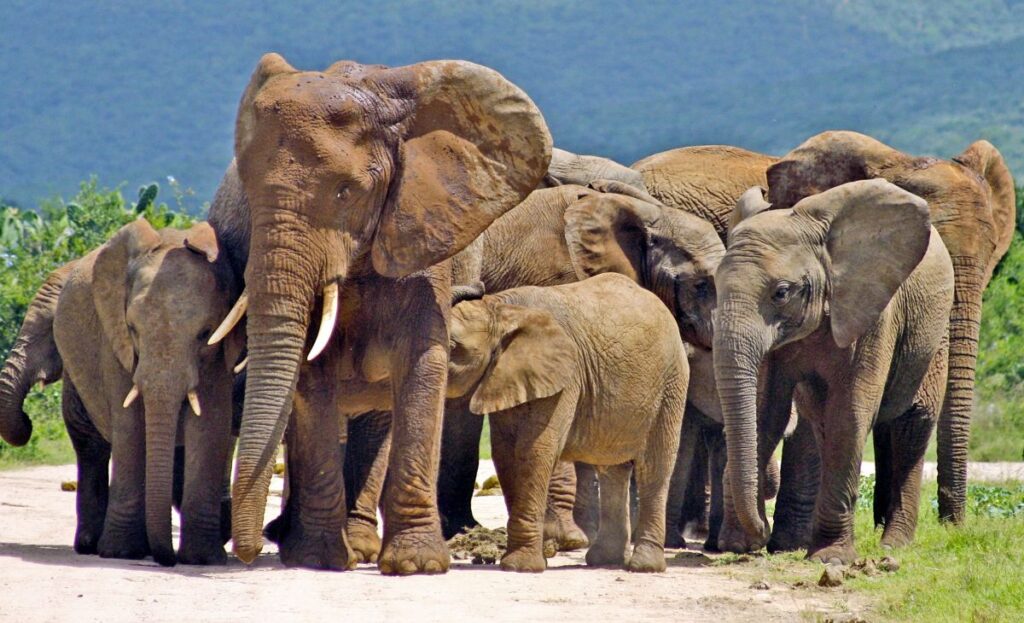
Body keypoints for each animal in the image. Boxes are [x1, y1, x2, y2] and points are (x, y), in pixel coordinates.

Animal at [0, 219, 244, 566]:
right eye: (133, 329)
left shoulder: (220, 352)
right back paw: (92, 544)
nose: (26, 423)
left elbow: (210, 424)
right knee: (91, 446)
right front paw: (122, 551)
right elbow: (129, 423)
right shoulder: (113, 341)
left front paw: (202, 559)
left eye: (206, 333)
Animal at [204, 54, 551, 573]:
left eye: (346, 192)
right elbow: (313, 376)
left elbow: (421, 364)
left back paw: (359, 545)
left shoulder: (422, 230)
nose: (244, 554)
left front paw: (416, 565)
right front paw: (317, 559)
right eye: (247, 193)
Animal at [446, 273, 689, 572]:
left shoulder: (565, 376)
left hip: (671, 384)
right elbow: (505, 454)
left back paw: (644, 567)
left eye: (452, 347)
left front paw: (521, 567)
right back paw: (604, 561)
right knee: (612, 468)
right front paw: (523, 561)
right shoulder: (505, 376)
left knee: (654, 467)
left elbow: (534, 450)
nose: (478, 284)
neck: (502, 308)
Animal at [714, 180, 954, 564]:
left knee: (912, 422)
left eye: (781, 293)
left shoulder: (873, 313)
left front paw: (830, 558)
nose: (762, 533)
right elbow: (767, 412)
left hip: (935, 333)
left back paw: (893, 545)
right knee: (821, 422)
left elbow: (850, 413)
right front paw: (737, 544)